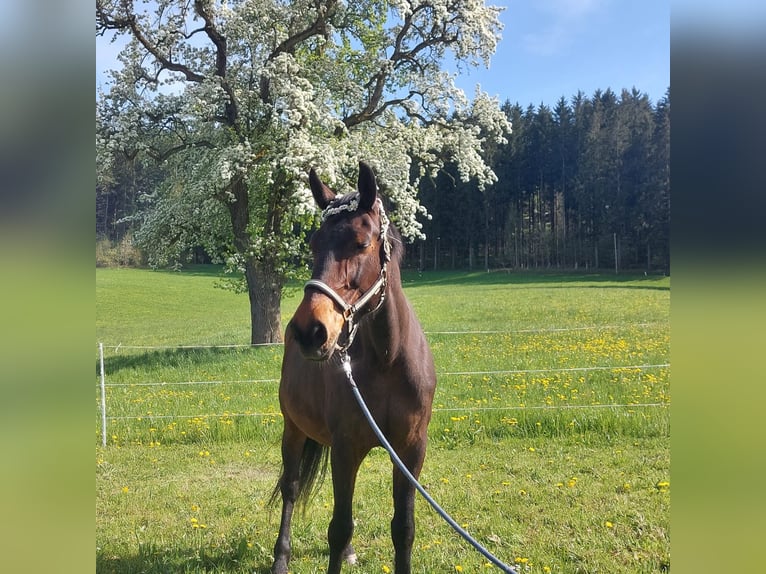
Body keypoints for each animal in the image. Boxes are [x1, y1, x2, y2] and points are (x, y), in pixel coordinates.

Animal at [270, 163, 438, 574]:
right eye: (313, 244)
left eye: (361, 243)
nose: (310, 331)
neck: (388, 360)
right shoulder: (346, 446)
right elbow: (339, 526)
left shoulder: (410, 451)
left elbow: (403, 527)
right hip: (293, 428)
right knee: (291, 487)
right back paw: (281, 558)